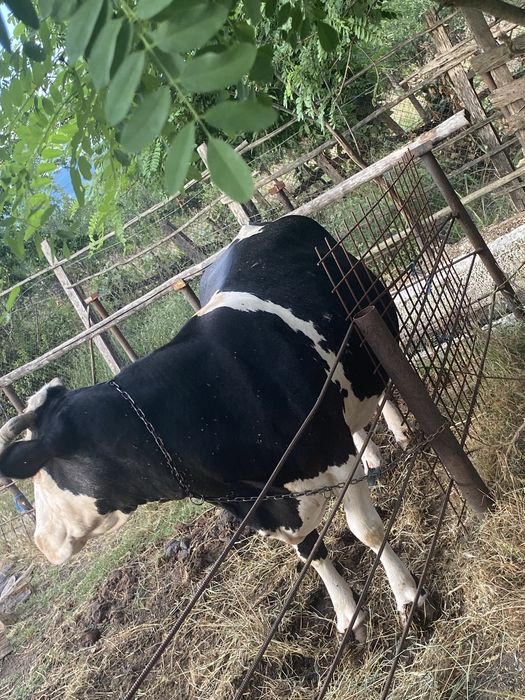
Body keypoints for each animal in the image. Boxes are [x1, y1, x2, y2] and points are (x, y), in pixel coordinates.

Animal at [0, 215, 425, 641]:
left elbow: (367, 530)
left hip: (371, 328)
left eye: (37, 473)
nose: (41, 542)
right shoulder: (266, 507)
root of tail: (256, 224)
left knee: (383, 385)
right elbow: (312, 553)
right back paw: (372, 457)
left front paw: (408, 598)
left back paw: (399, 434)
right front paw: (348, 616)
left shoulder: (334, 460)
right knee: (353, 416)